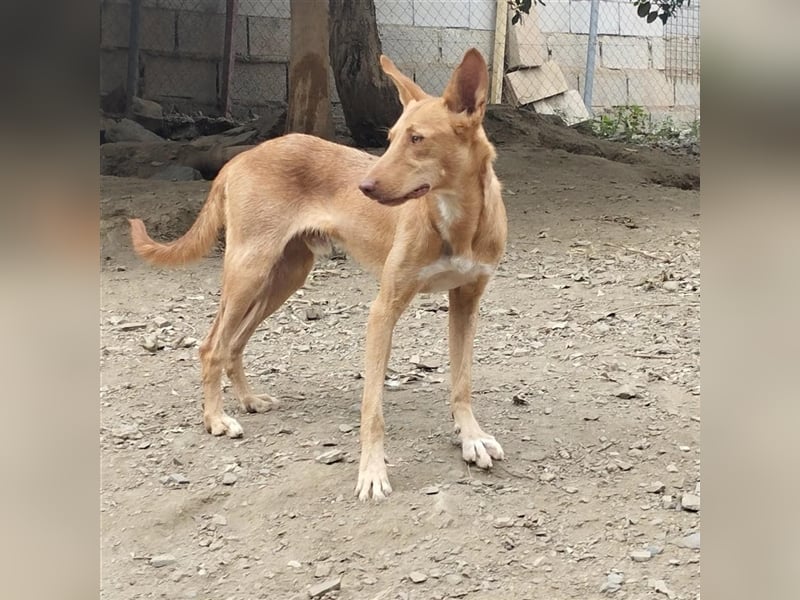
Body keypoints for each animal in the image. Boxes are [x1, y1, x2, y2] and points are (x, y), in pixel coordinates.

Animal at [130, 48, 506, 502]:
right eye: (390, 137)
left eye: (417, 139)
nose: (363, 187)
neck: (458, 220)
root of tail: (239, 157)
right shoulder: (383, 310)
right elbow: (372, 408)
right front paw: (372, 472)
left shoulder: (467, 302)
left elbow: (462, 382)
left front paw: (471, 437)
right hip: (248, 271)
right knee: (212, 346)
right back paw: (216, 419)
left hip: (284, 277)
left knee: (234, 343)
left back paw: (249, 400)